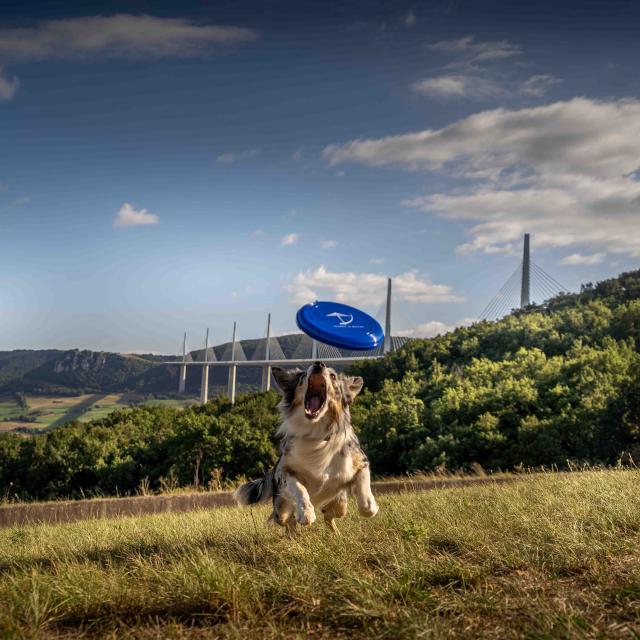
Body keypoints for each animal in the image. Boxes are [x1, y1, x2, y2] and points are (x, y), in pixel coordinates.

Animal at [234, 360, 378, 536]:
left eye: (333, 376)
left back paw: (336, 534)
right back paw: (294, 532)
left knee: (328, 515)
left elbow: (365, 500)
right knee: (288, 521)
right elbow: (299, 488)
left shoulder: (360, 461)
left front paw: (371, 507)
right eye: (303, 375)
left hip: (340, 504)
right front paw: (306, 513)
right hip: (281, 509)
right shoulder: (283, 470)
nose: (318, 364)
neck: (316, 432)